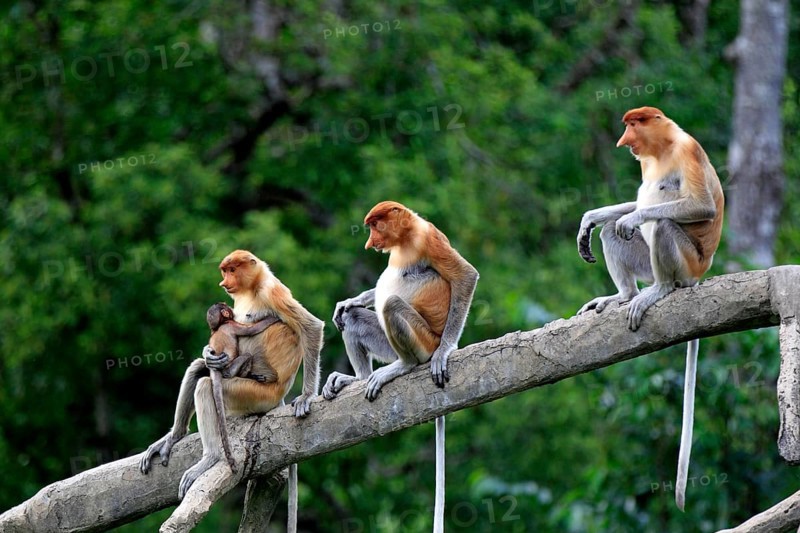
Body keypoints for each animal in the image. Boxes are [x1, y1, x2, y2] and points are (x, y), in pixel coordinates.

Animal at [205, 301, 280, 472]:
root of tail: (217, 371)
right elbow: (252, 329)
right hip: (230, 368)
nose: (228, 306)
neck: (220, 326)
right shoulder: (232, 325)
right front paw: (274, 318)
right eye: (224, 306)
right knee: (246, 356)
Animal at [323, 201, 479, 533]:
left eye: (374, 225)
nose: (369, 243)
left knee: (392, 305)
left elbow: (466, 275)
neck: (406, 238)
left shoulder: (429, 238)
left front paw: (447, 351)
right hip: (387, 342)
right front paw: (348, 301)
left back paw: (404, 366)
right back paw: (356, 378)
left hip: (422, 341)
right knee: (354, 320)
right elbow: (356, 306)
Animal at [576, 107, 724, 510]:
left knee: (662, 222)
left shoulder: (688, 150)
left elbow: (700, 206)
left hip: (686, 262)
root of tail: (699, 275)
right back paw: (623, 295)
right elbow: (621, 210)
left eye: (634, 124)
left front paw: (633, 218)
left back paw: (658, 289)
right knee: (612, 231)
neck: (664, 148)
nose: (623, 142)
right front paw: (590, 218)